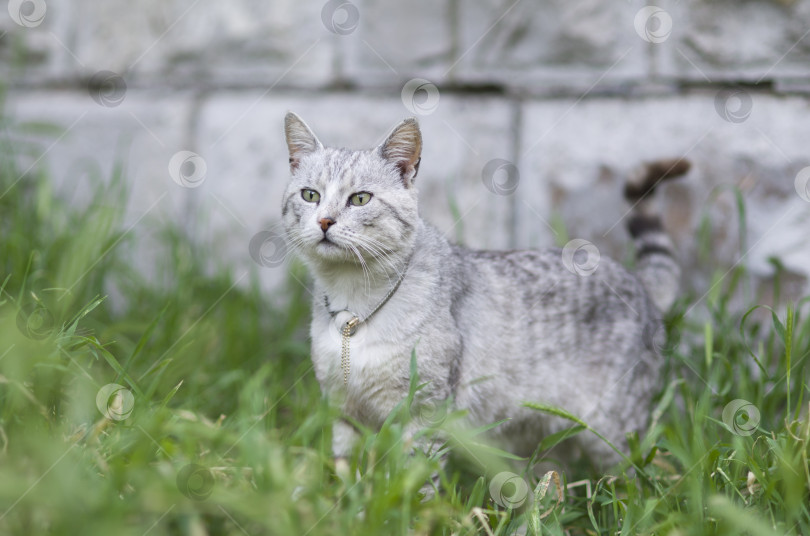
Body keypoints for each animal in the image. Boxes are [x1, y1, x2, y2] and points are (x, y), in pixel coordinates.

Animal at [280, 111, 688, 476]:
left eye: (361, 199)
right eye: (310, 195)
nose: (325, 221)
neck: (354, 309)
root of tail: (639, 282)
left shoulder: (425, 409)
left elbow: (415, 480)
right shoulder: (343, 409)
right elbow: (344, 474)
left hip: (613, 431)